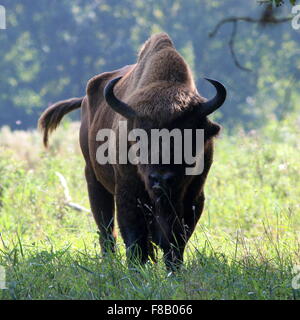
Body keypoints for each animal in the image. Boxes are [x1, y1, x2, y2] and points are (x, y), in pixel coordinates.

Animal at [40, 33, 227, 270]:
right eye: (139, 137)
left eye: (190, 135)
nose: (161, 179)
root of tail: (85, 100)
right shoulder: (128, 194)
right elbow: (134, 237)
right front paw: (137, 270)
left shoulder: (192, 197)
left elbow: (176, 240)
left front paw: (174, 270)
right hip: (93, 179)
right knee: (106, 230)